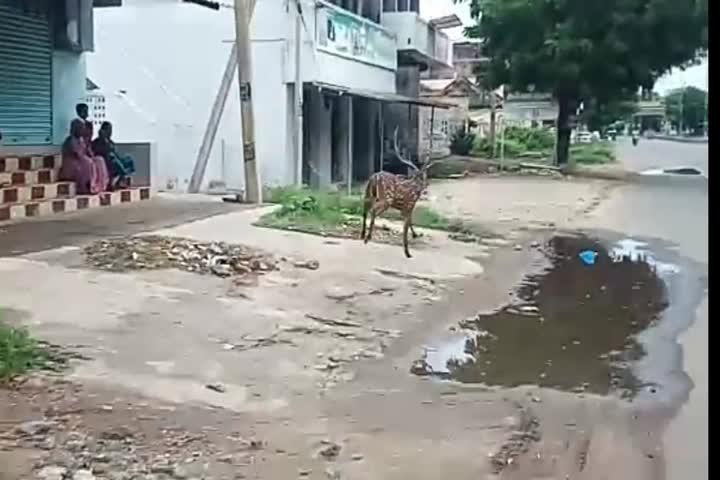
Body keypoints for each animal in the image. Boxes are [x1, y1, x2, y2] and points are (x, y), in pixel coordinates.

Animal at [362, 125, 436, 256]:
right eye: (423, 177)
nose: (426, 186)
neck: (415, 186)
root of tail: (374, 177)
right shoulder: (409, 204)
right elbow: (408, 222)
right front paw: (409, 246)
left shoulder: (404, 207)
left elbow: (409, 221)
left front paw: (415, 235)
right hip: (386, 198)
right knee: (373, 210)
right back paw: (367, 237)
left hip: (369, 194)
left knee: (365, 208)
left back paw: (362, 235)